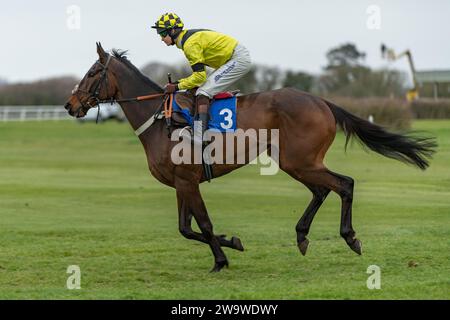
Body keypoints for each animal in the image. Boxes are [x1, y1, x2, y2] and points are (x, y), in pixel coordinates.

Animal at [64, 43, 436, 272]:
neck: (161, 119)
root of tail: (321, 101)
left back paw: (350, 237)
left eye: (92, 73)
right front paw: (232, 243)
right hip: (296, 161)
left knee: (344, 184)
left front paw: (221, 259)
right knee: (322, 190)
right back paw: (302, 235)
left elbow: (204, 224)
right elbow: (186, 229)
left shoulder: (188, 181)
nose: (70, 105)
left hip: (300, 160)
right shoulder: (181, 183)